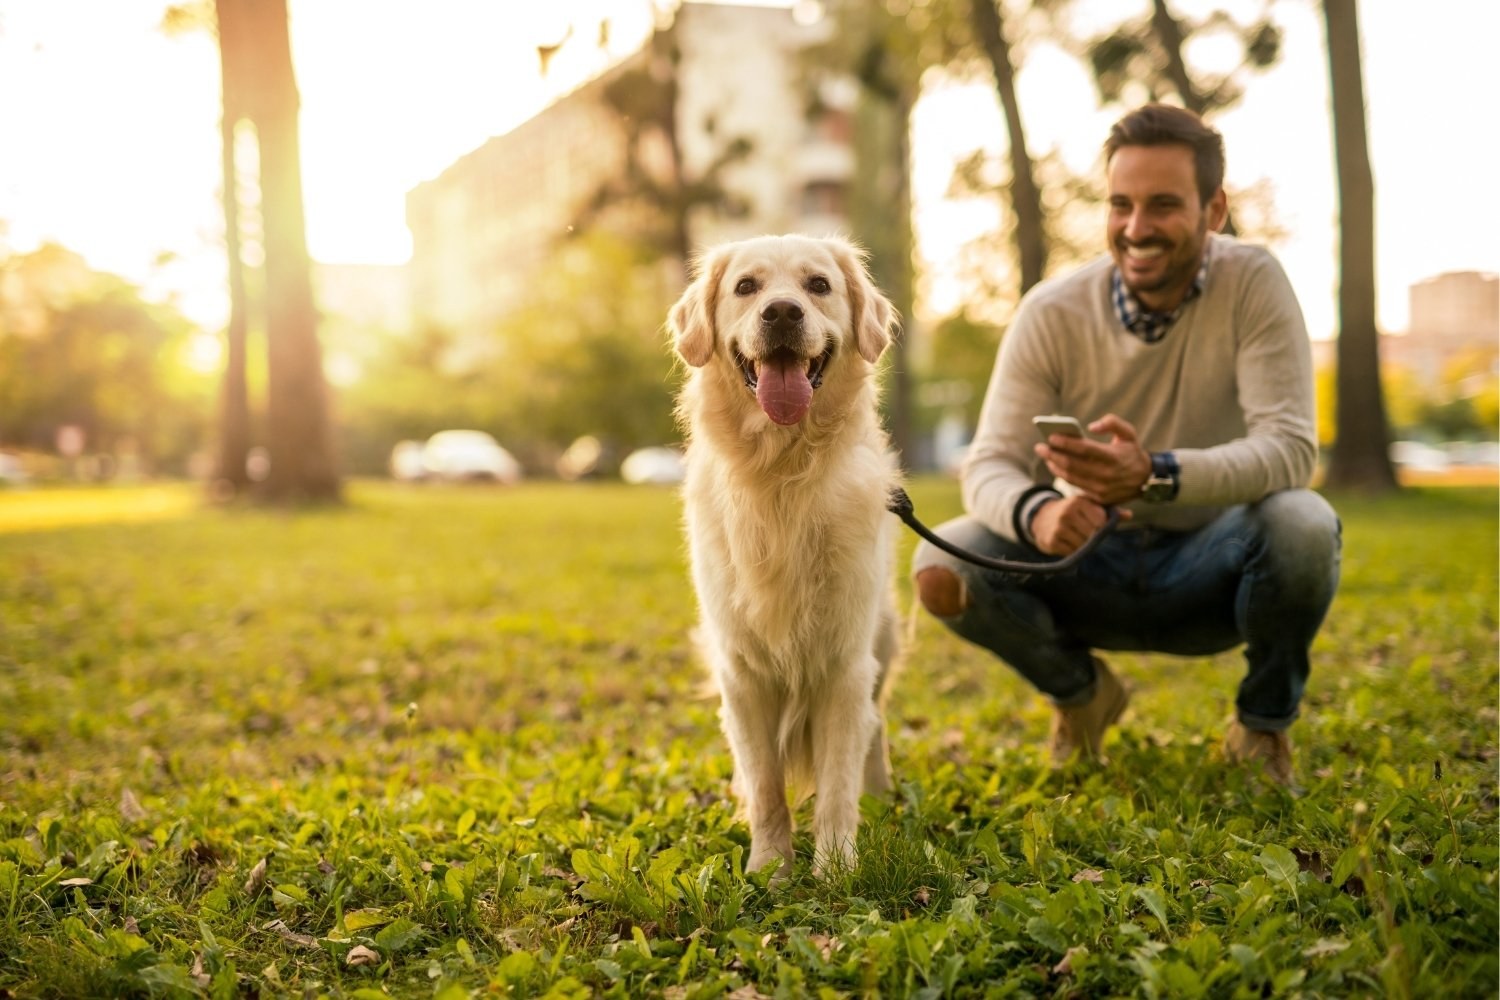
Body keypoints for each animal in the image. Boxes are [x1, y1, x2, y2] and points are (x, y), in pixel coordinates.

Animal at [672, 235, 900, 875]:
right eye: (746, 287)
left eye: (818, 285)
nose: (781, 313)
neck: (781, 474)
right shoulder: (742, 672)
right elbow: (766, 785)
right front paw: (770, 868)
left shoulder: (845, 663)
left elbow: (838, 783)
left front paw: (837, 869)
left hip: (883, 639)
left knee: (875, 727)